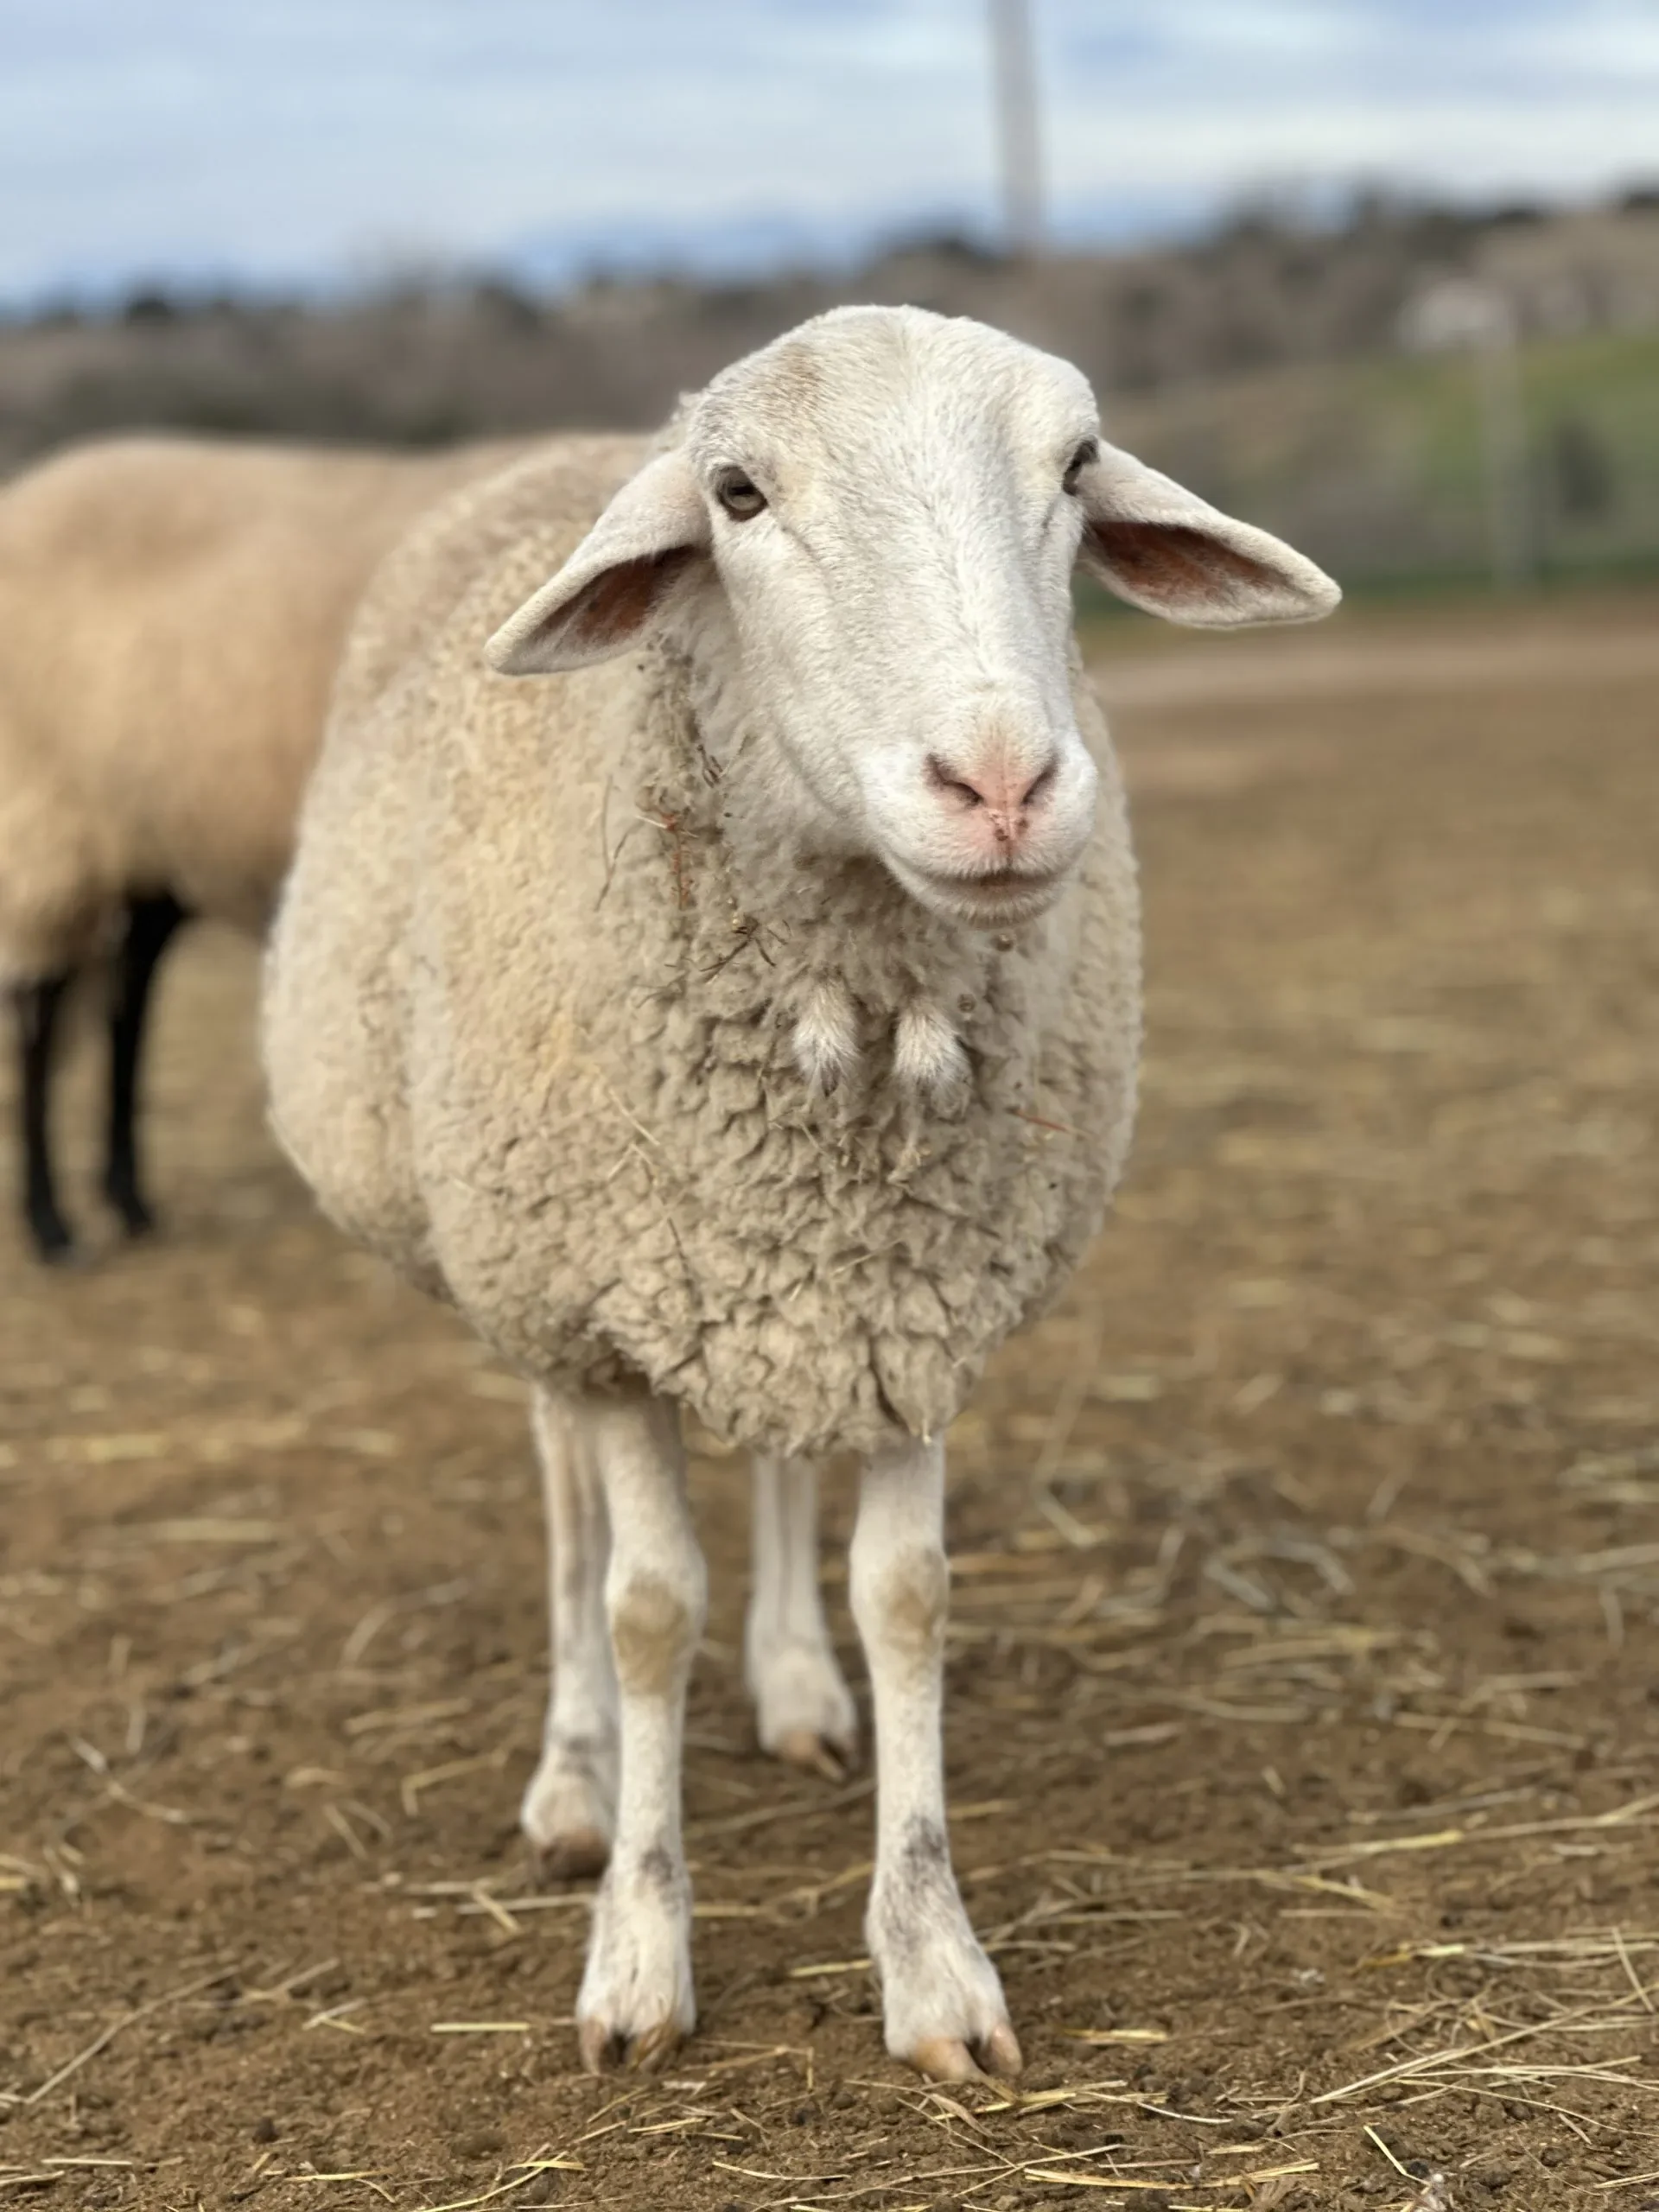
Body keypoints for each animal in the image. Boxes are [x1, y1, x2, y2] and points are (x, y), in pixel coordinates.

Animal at [0, 431, 525, 1262]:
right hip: (48, 821)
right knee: (40, 1012)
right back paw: (52, 1226)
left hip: (150, 832)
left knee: (126, 995)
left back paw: (129, 1200)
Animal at [263, 305, 1339, 2080]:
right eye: (740, 496)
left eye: (1075, 467)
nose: (1001, 784)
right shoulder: (599, 1302)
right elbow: (643, 1606)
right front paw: (637, 1952)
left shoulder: (907, 1297)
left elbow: (906, 1596)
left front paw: (932, 1958)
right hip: (524, 1276)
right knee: (565, 1504)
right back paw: (574, 1774)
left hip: (769, 1288)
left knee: (775, 1457)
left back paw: (793, 1688)